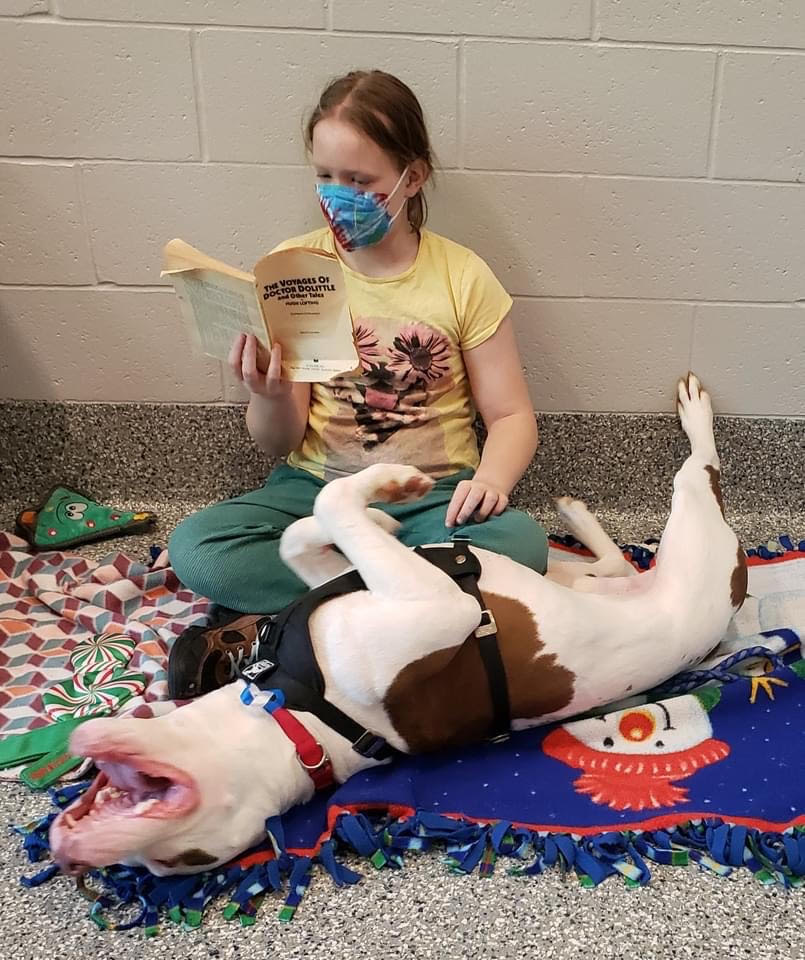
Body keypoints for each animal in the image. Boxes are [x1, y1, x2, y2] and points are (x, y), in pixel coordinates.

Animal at [47, 376, 744, 876]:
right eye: (176, 862)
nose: (67, 850)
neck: (300, 717)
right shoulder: (444, 609)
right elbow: (330, 501)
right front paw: (386, 485)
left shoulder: (349, 578)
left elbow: (305, 533)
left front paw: (381, 512)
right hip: (694, 535)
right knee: (700, 474)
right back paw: (694, 417)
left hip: (593, 577)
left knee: (618, 556)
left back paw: (581, 514)